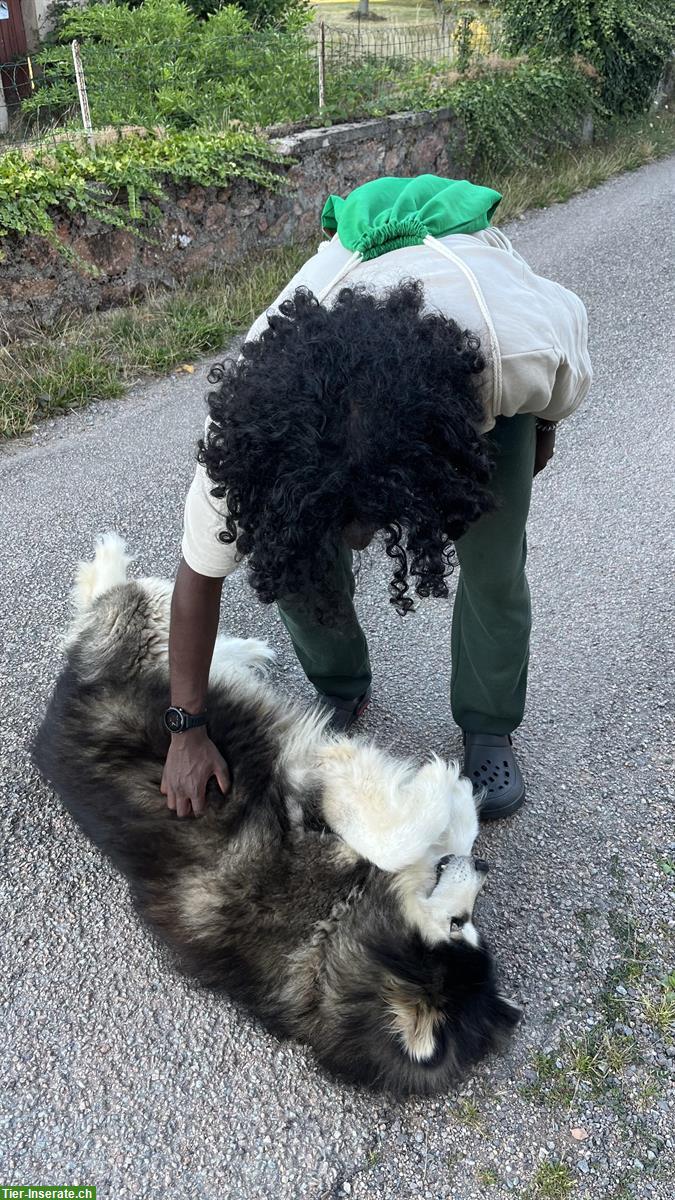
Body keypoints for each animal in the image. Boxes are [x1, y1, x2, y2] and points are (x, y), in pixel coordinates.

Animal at [32, 535, 521, 1099]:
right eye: (459, 925)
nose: (484, 869)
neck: (332, 927)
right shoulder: (305, 800)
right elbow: (395, 837)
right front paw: (449, 788)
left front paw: (454, 814)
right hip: (150, 629)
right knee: (131, 599)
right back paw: (117, 566)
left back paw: (245, 652)